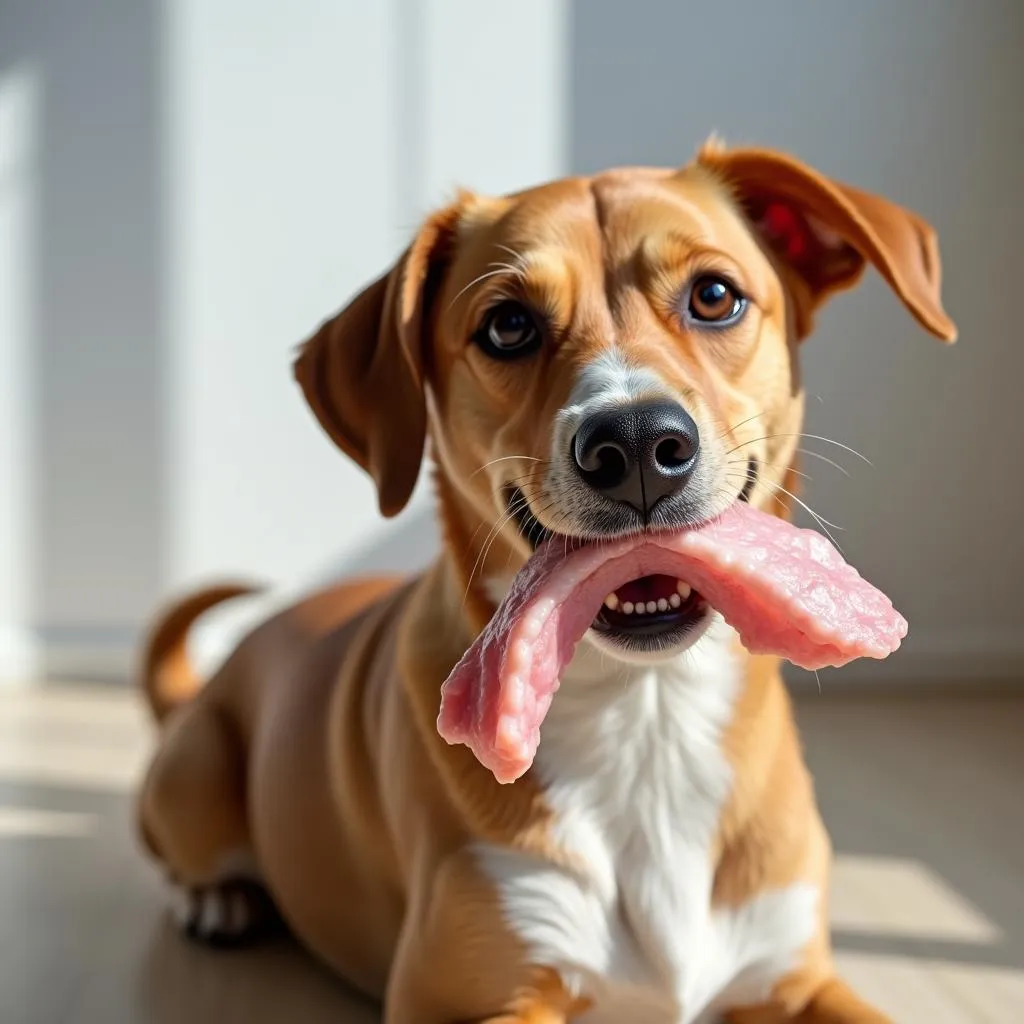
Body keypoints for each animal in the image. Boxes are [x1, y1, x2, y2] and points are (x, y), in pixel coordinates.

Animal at [136, 138, 950, 1024]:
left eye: (715, 296)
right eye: (508, 325)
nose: (636, 442)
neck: (647, 714)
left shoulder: (796, 976)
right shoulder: (465, 993)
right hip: (192, 779)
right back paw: (214, 899)